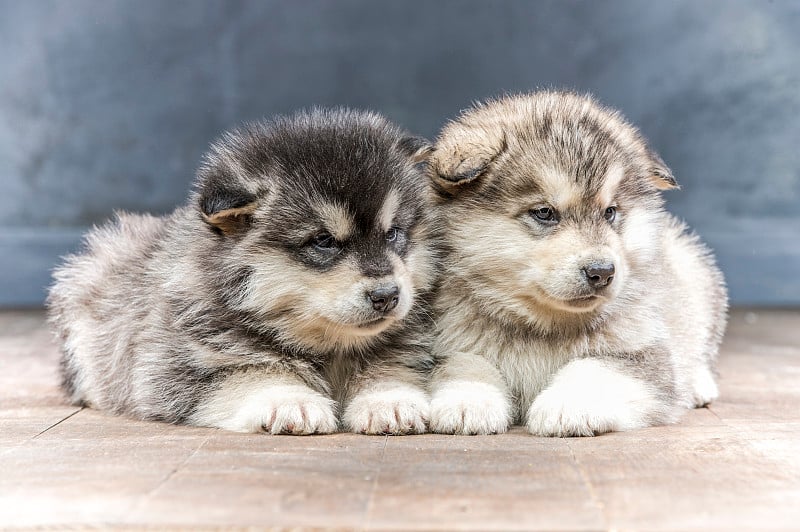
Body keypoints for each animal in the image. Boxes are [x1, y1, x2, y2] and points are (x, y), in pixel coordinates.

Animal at [48, 109, 438, 436]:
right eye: (323, 240)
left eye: (393, 233)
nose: (387, 295)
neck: (327, 348)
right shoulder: (172, 371)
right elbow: (250, 373)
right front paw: (290, 400)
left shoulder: (406, 350)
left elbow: (390, 367)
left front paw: (390, 400)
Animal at [428, 90, 728, 436]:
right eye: (544, 212)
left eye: (610, 212)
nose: (602, 272)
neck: (545, 327)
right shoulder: (449, 342)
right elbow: (465, 363)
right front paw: (468, 399)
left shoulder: (644, 356)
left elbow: (595, 368)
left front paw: (568, 404)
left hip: (693, 268)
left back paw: (699, 383)